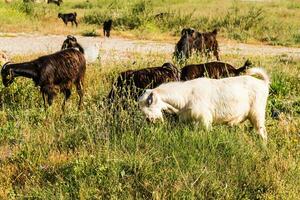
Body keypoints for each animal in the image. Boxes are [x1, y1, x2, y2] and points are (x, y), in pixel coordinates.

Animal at [138, 67, 270, 141]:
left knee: (263, 133)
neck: (186, 95)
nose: (150, 120)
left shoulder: (205, 119)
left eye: (148, 103)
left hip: (257, 114)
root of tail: (263, 83)